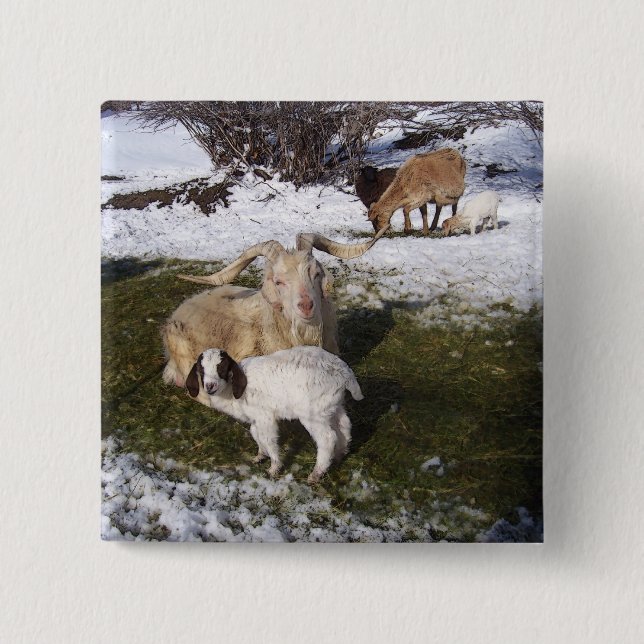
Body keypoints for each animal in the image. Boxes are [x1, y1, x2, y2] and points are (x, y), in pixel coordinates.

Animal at [186, 346, 364, 483]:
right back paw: (340, 454)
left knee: (327, 438)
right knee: (344, 425)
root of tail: (343, 372)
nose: (210, 386)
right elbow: (255, 434)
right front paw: (260, 456)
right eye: (201, 370)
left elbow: (269, 439)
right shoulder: (256, 418)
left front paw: (274, 467)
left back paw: (316, 473)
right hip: (332, 405)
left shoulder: (265, 416)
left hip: (313, 412)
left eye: (222, 368)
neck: (231, 390)